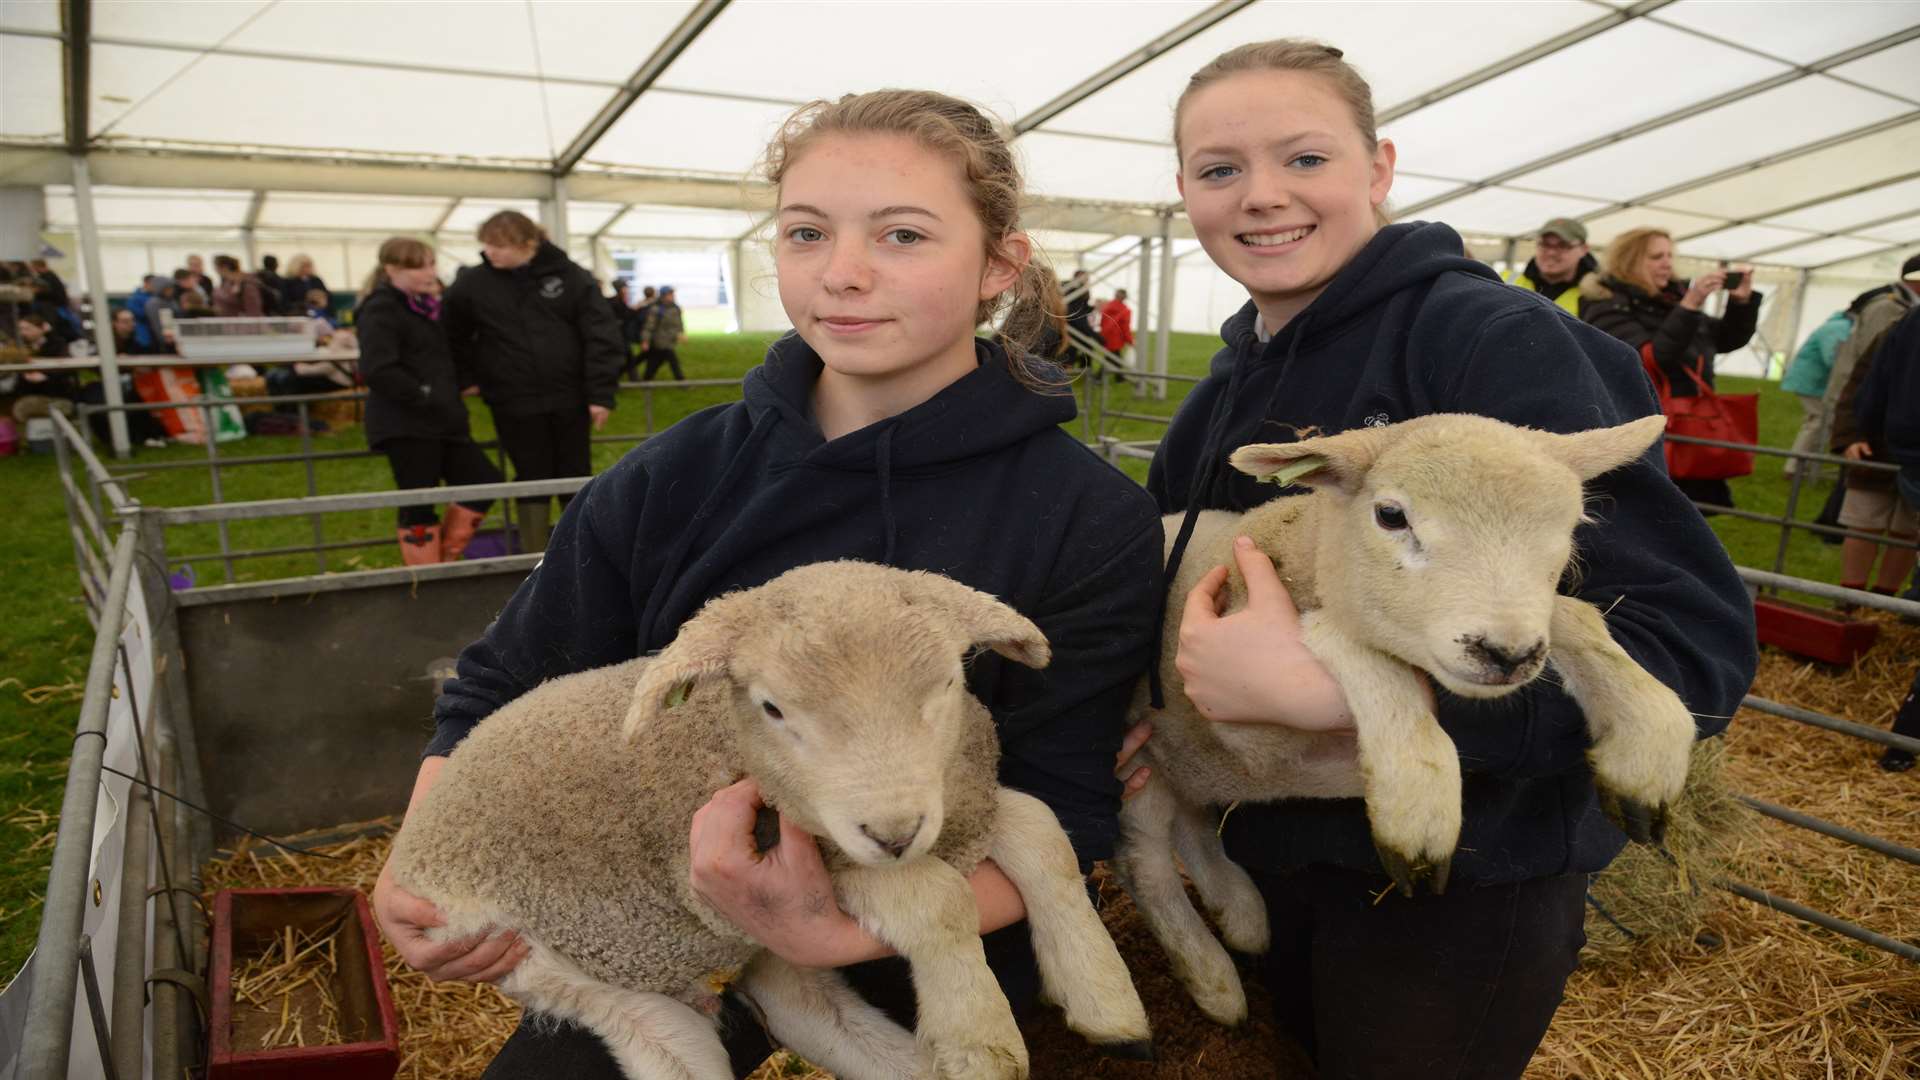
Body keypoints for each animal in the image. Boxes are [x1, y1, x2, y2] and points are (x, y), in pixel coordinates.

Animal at [382, 557, 1144, 1076]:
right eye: (773, 708)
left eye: (950, 683)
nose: (892, 833)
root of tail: (411, 845)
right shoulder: (787, 864)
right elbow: (938, 898)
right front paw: (974, 1035)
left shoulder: (961, 802)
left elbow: (1044, 830)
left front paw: (1103, 996)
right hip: (543, 959)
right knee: (665, 1040)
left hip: (758, 943)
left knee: (806, 1009)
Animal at [1121, 409, 1697, 1014]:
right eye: (1391, 515)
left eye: (1571, 524)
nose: (1507, 654)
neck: (1304, 553)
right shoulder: (1243, 723)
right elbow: (1347, 636)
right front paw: (1417, 806)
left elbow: (1574, 615)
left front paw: (1647, 743)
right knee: (1146, 862)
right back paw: (1210, 981)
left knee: (1191, 820)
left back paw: (1240, 914)